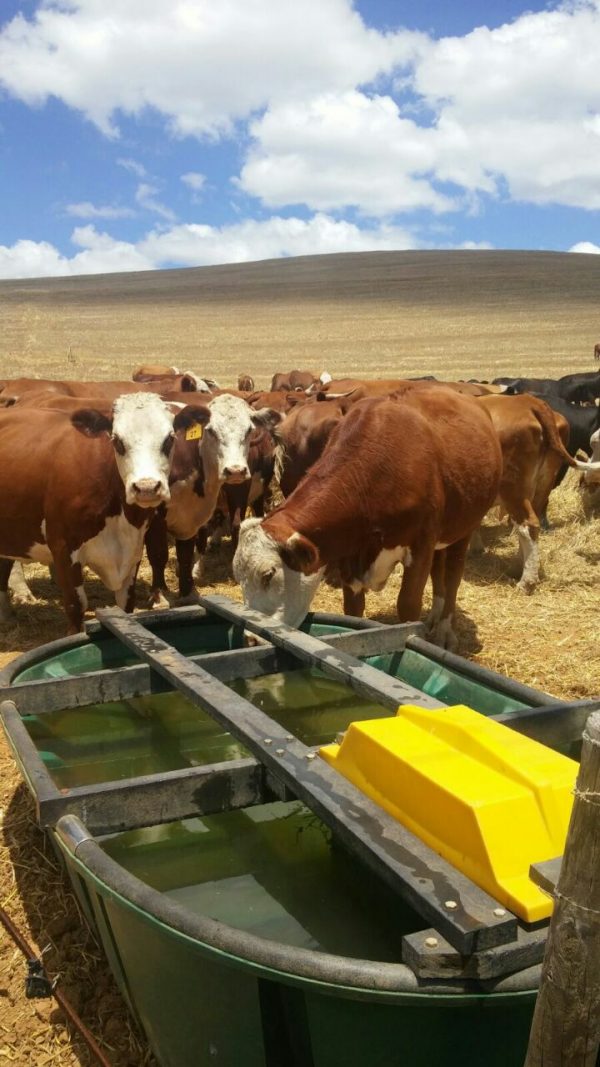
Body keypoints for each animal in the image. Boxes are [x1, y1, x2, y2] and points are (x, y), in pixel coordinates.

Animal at [0, 392, 204, 633]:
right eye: (117, 441)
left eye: (169, 439)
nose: (146, 487)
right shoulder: (63, 549)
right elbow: (75, 605)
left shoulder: (133, 550)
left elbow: (126, 604)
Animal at [143, 394, 282, 607]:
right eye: (210, 430)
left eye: (249, 430)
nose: (235, 470)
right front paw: (193, 571)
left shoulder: (238, 491)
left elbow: (235, 525)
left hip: (256, 495)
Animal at [233, 385, 504, 650]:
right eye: (238, 576)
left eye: (268, 574)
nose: (250, 639)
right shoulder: (348, 553)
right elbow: (353, 610)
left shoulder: (421, 547)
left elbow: (408, 607)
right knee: (439, 572)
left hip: (465, 527)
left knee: (452, 575)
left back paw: (445, 629)